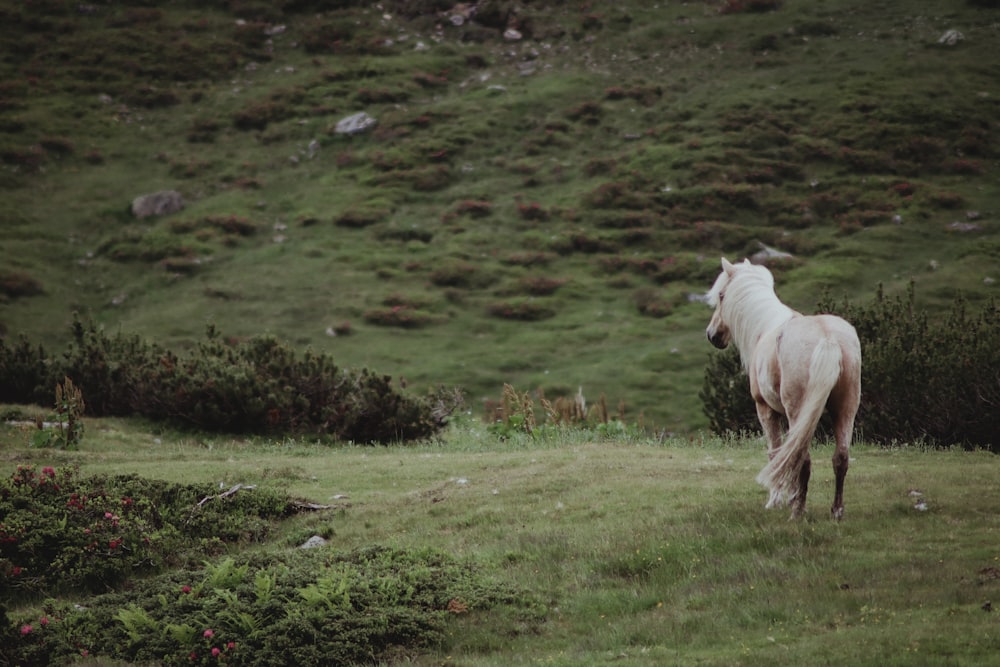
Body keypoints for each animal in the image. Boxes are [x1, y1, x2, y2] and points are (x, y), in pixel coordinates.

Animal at [704, 258, 860, 520]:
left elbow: (775, 454)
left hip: (798, 411)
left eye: (722, 295)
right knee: (841, 458)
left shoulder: (766, 409)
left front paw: (777, 499)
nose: (712, 334)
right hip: (845, 408)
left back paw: (797, 513)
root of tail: (828, 338)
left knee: (801, 458)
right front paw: (789, 496)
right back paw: (836, 512)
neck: (765, 327)